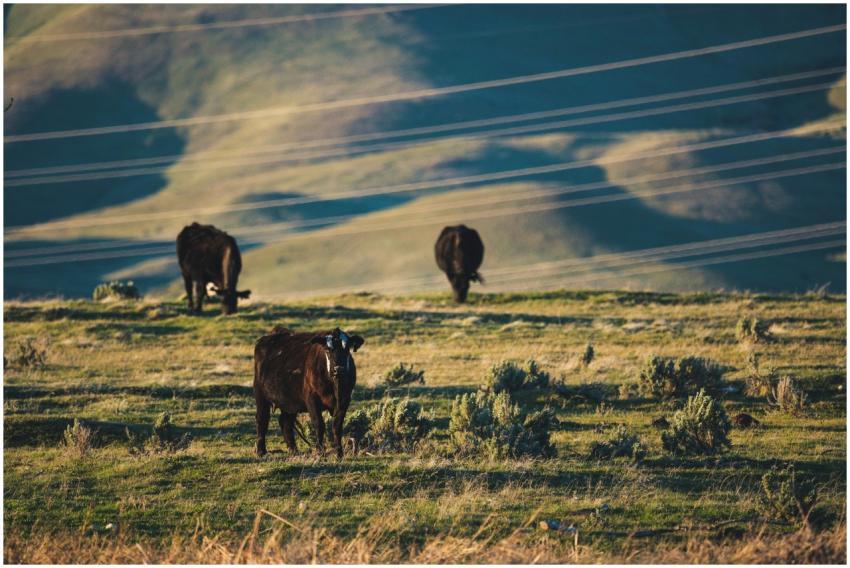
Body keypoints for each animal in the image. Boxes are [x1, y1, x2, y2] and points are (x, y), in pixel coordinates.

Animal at [253, 326, 364, 458]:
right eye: (327, 350)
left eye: (347, 349)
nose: (338, 369)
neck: (335, 387)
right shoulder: (311, 399)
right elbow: (319, 424)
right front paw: (320, 452)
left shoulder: (345, 400)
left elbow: (337, 426)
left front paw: (339, 453)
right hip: (260, 395)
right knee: (262, 419)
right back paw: (261, 451)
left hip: (290, 401)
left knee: (285, 422)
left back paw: (294, 450)